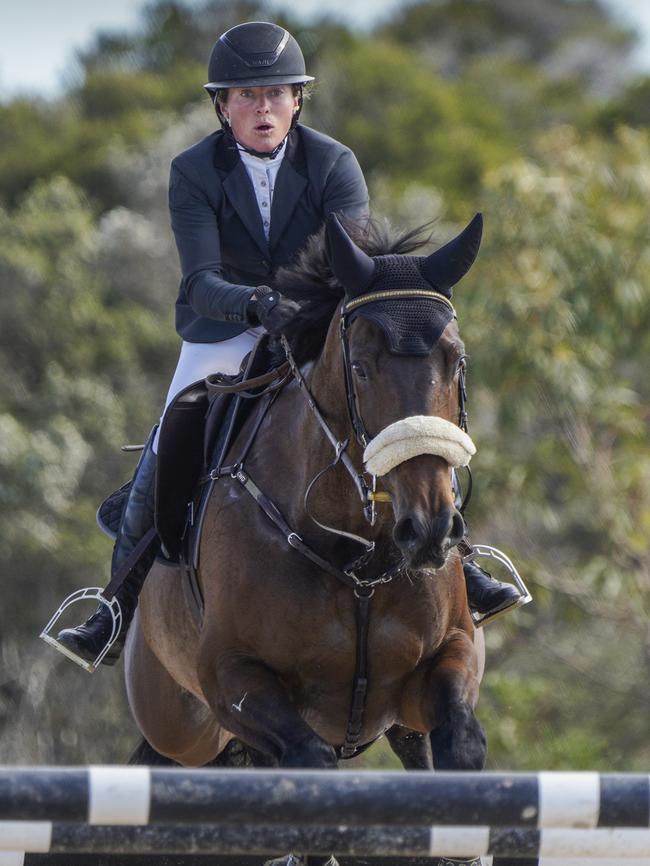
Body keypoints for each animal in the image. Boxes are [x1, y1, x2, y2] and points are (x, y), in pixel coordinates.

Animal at [124, 213, 484, 772]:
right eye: (360, 368)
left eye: (458, 362)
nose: (430, 530)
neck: (359, 552)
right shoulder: (233, 676)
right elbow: (309, 756)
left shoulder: (449, 653)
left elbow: (463, 742)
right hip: (181, 730)